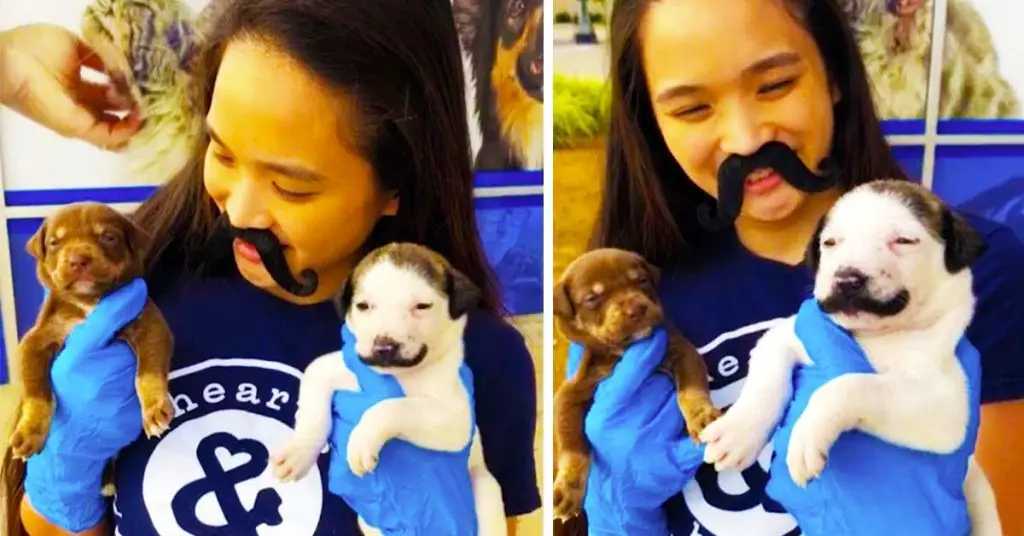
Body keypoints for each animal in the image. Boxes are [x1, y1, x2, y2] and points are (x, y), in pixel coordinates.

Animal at [1, 202, 173, 520]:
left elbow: (147, 374)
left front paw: (155, 409)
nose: (78, 260)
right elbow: (37, 394)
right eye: (54, 243)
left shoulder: (151, 326)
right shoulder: (36, 341)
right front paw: (29, 433)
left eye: (108, 237)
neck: (88, 304)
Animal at [272, 241, 507, 536]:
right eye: (363, 306)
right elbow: (314, 412)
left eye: (422, 306)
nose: (384, 346)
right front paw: (299, 451)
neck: (399, 375)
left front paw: (362, 439)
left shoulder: (455, 416)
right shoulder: (330, 368)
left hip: (486, 487)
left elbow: (393, 406)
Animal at [552, 250, 720, 522]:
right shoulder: (571, 392)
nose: (637, 308)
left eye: (641, 280)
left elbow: (691, 391)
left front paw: (702, 416)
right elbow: (572, 446)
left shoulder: (683, 352)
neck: (620, 351)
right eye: (592, 298)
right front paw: (567, 489)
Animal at [700, 181, 995, 536]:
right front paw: (740, 430)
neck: (875, 336)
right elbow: (766, 379)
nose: (846, 278)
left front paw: (807, 433)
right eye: (830, 243)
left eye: (904, 240)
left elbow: (849, 384)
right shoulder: (787, 334)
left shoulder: (943, 404)